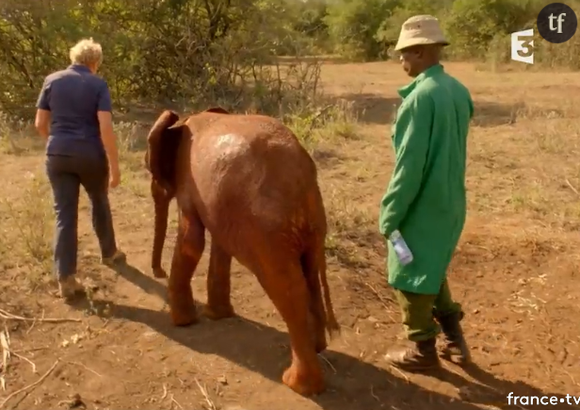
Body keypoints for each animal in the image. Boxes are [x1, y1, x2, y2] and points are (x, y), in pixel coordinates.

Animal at [143, 107, 340, 396]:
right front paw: (216, 316)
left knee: (285, 285)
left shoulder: (188, 182)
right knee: (310, 274)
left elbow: (192, 241)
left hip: (267, 229)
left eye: (149, 166)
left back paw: (297, 384)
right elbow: (220, 245)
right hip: (311, 225)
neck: (184, 119)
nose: (158, 271)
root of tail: (302, 177)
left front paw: (183, 323)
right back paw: (318, 349)